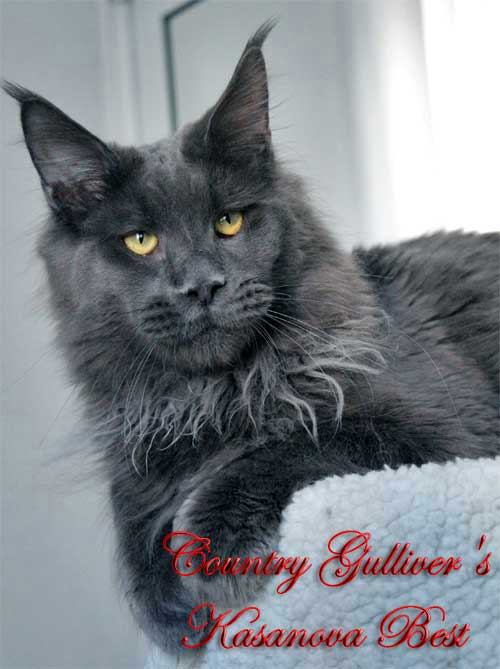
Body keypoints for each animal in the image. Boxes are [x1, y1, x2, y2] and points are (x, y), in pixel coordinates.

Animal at [4, 21, 499, 654]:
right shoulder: (140, 451)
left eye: (229, 222)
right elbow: (133, 519)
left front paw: (211, 549)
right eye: (140, 240)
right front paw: (167, 609)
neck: (213, 397)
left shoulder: (437, 428)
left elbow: (289, 443)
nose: (201, 286)